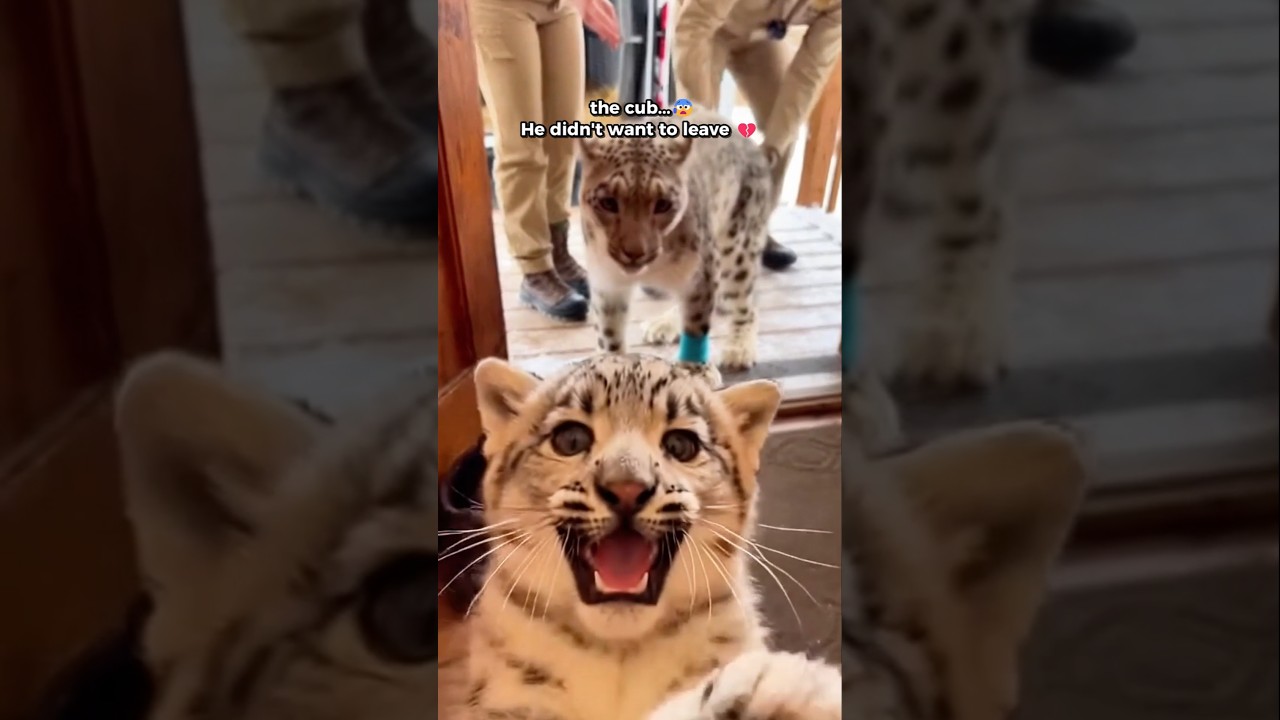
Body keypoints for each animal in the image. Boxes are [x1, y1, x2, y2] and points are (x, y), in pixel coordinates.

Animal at [576, 105, 773, 372]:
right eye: (608, 202)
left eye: (663, 204)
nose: (634, 252)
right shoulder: (607, 284)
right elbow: (609, 337)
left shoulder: (703, 276)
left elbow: (696, 328)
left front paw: (691, 370)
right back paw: (663, 325)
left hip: (738, 250)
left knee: (747, 302)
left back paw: (739, 348)